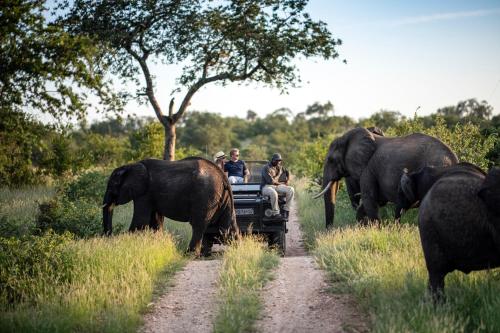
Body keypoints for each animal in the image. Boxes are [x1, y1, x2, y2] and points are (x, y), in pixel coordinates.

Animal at [101, 158, 238, 254]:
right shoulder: (151, 194)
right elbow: (156, 221)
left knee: (198, 225)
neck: (130, 165)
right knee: (227, 225)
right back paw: (236, 248)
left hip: (205, 196)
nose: (108, 237)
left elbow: (140, 221)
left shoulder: (144, 193)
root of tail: (222, 176)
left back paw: (190, 253)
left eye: (112, 186)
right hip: (222, 197)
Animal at [314, 126, 458, 227]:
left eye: (331, 160)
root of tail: (453, 159)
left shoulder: (368, 169)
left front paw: (375, 230)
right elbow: (377, 201)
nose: (329, 230)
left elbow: (369, 199)